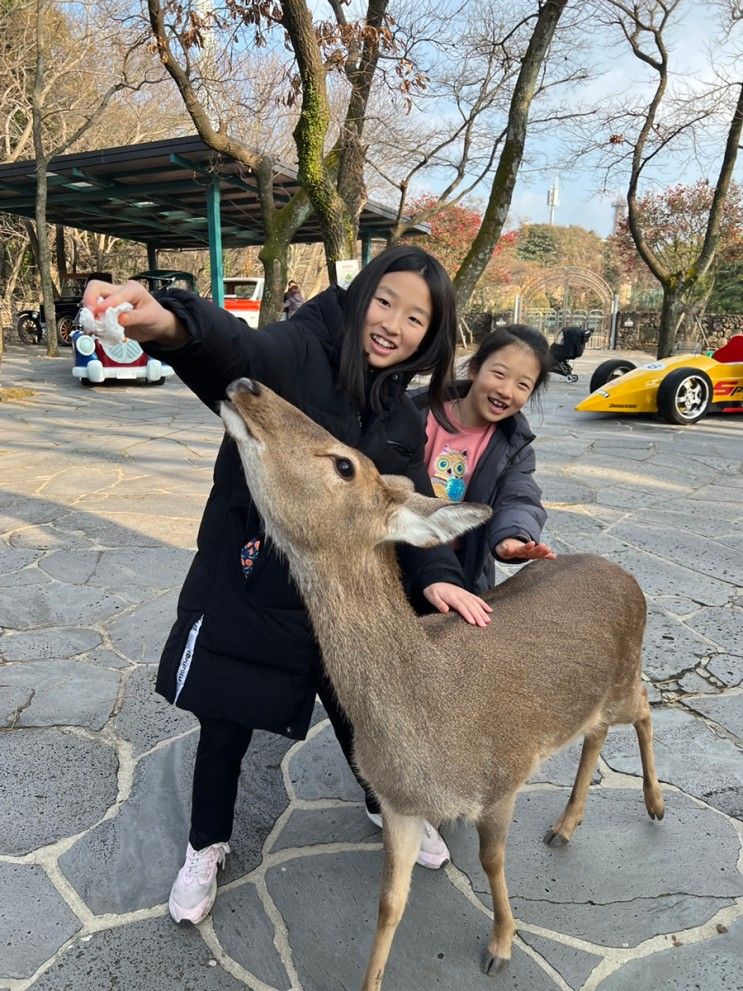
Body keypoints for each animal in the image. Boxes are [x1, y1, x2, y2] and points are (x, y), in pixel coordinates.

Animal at [219, 376, 664, 988]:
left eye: (344, 465)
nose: (246, 385)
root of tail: (629, 576)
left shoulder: (501, 779)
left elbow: (491, 861)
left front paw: (500, 946)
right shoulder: (399, 806)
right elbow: (389, 903)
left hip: (624, 676)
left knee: (646, 706)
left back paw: (655, 806)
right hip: (594, 698)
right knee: (596, 731)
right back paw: (565, 826)